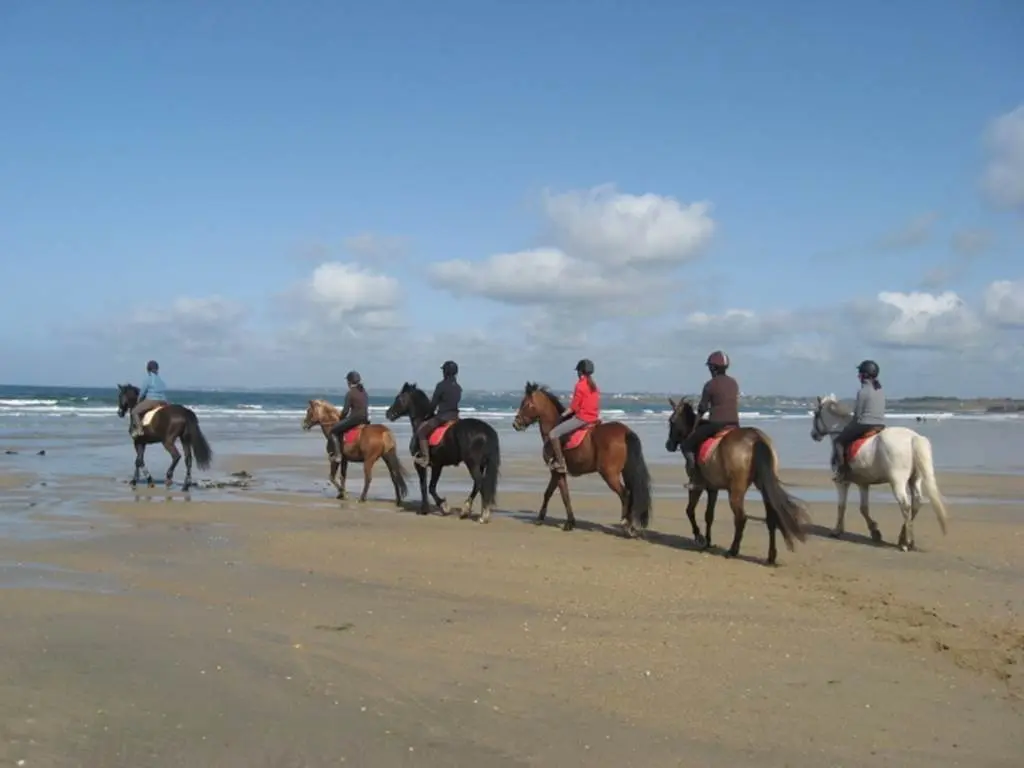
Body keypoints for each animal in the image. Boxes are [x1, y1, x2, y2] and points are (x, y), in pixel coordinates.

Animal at [385, 385, 501, 524]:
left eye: (399, 398)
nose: (388, 414)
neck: (421, 422)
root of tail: (487, 431)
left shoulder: (421, 464)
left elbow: (424, 486)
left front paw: (429, 509)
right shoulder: (437, 465)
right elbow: (431, 486)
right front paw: (442, 506)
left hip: (472, 463)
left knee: (479, 483)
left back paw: (472, 512)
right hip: (482, 464)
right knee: (481, 486)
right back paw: (480, 513)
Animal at [512, 382, 655, 536]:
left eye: (526, 404)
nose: (516, 424)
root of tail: (625, 432)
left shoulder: (556, 471)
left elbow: (557, 495)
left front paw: (555, 521)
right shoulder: (559, 473)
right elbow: (558, 494)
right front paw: (566, 521)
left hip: (609, 473)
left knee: (625, 494)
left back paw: (626, 524)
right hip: (625, 471)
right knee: (631, 493)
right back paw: (631, 526)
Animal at [667, 399, 811, 569]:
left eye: (671, 421)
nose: (668, 445)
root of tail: (757, 439)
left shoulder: (696, 486)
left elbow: (690, 510)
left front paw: (700, 538)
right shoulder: (712, 488)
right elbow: (709, 515)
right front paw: (708, 541)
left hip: (736, 490)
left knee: (741, 518)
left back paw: (733, 551)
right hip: (764, 487)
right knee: (771, 519)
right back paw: (770, 556)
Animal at [811, 397, 946, 552]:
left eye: (816, 414)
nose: (813, 435)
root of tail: (913, 438)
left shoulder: (842, 483)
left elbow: (841, 506)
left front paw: (837, 531)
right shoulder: (863, 484)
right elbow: (864, 508)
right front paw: (875, 532)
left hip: (897, 482)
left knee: (905, 506)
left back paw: (906, 543)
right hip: (915, 480)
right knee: (916, 503)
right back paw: (905, 539)